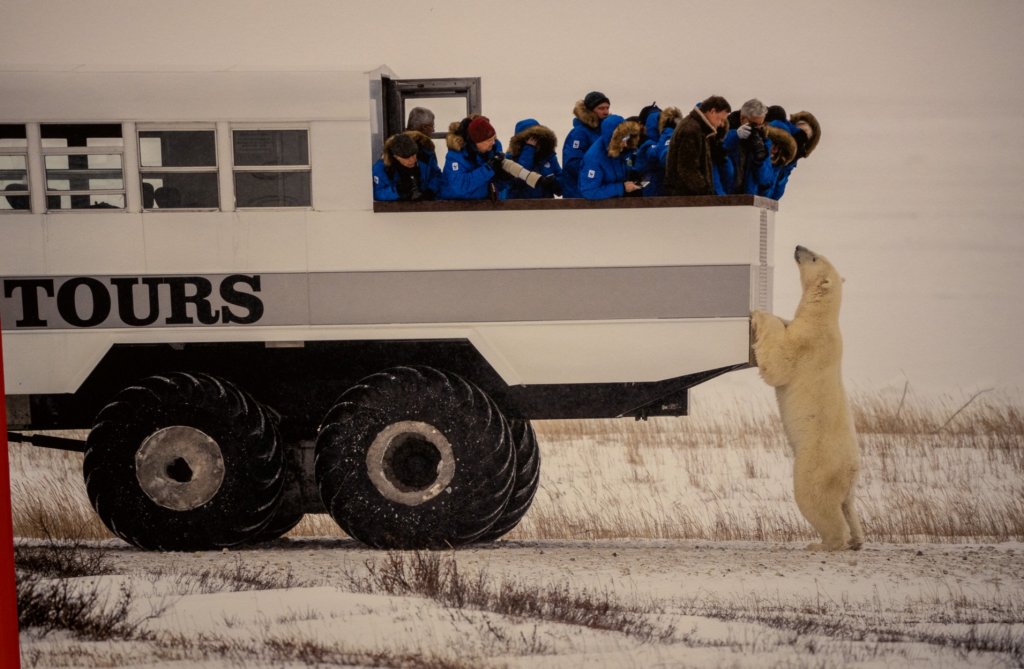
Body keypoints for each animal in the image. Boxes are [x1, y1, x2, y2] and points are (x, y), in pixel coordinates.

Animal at [753, 243, 864, 549]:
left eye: (814, 257)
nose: (798, 247)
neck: (822, 318)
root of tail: (850, 470)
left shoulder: (807, 343)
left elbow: (779, 364)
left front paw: (760, 314)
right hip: (847, 484)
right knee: (848, 506)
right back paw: (857, 539)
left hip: (816, 464)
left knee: (815, 500)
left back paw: (825, 543)